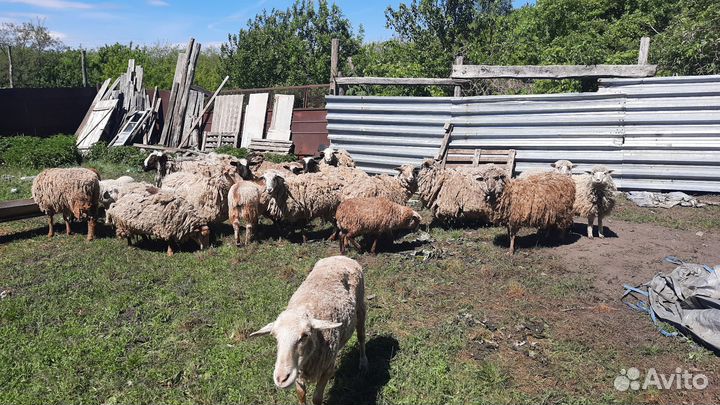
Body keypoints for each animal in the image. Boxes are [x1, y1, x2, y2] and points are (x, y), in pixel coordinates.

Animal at [250, 255, 367, 405]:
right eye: (275, 337)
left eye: (305, 336)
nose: (281, 379)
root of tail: (340, 256)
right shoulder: (298, 372)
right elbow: (301, 394)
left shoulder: (326, 369)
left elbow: (317, 398)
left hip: (360, 306)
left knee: (361, 336)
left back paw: (363, 362)